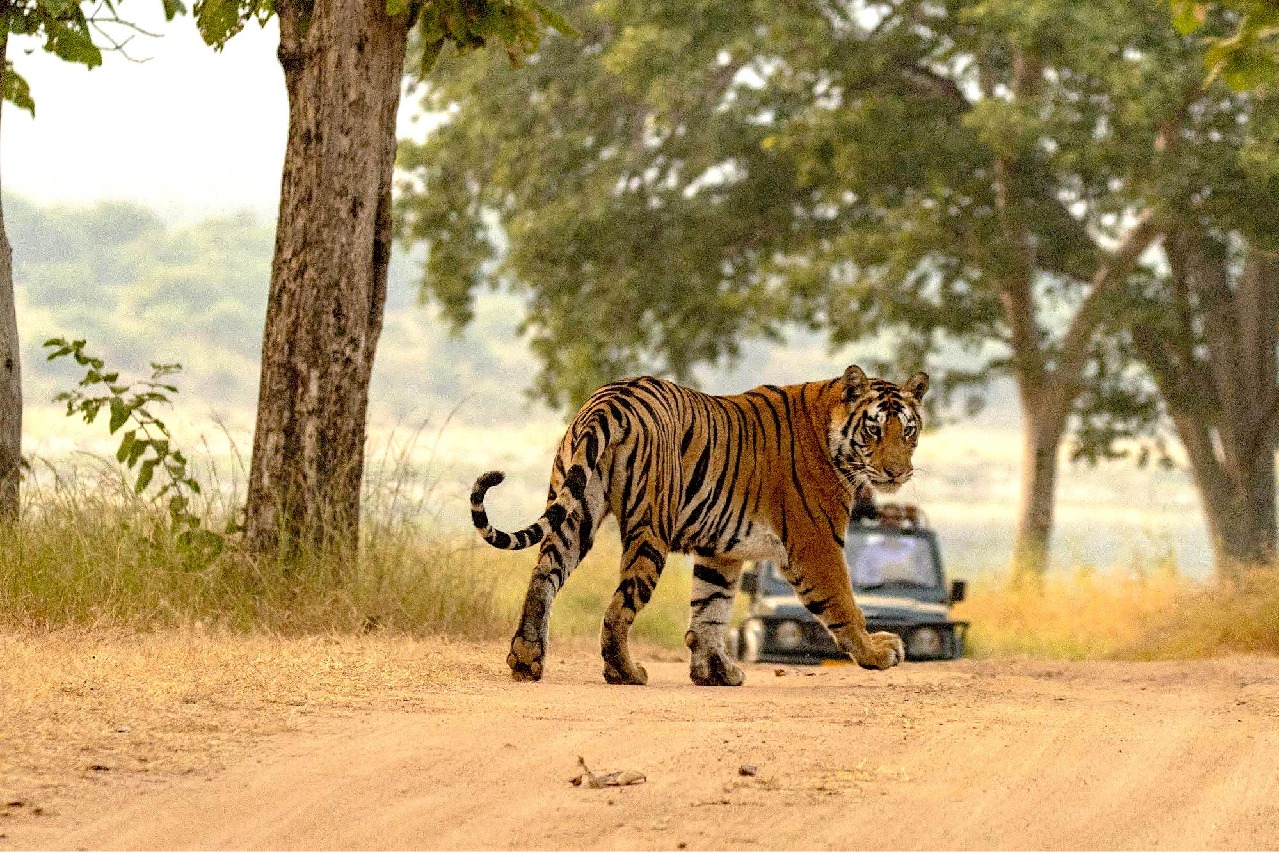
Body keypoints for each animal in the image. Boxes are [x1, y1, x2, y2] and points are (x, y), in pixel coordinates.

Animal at [469, 364, 929, 686]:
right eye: (874, 430)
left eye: (908, 431)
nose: (897, 473)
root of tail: (611, 399)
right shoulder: (816, 544)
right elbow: (845, 605)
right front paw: (878, 654)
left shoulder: (721, 549)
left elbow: (711, 609)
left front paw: (715, 672)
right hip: (651, 528)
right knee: (618, 607)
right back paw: (625, 672)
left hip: (575, 511)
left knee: (542, 577)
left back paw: (526, 659)